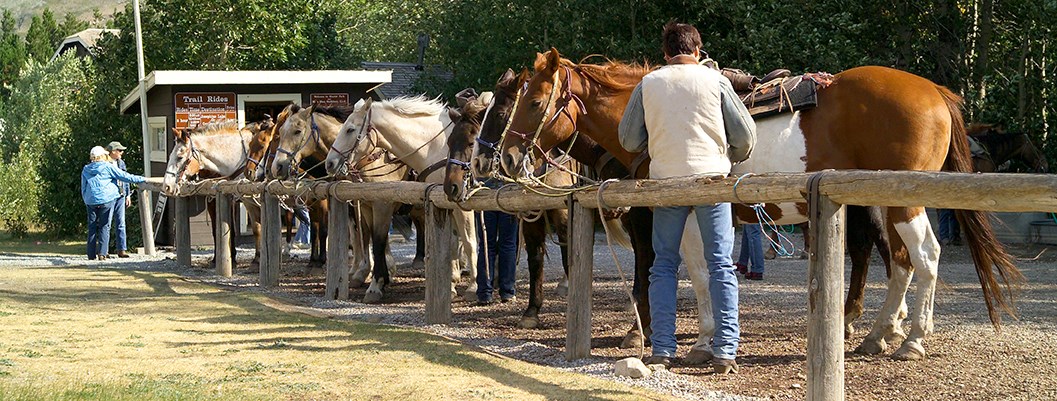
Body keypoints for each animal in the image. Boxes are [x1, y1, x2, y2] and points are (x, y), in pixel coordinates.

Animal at [323, 96, 481, 304]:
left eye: (350, 129)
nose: (329, 163)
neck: (435, 148)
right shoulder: (369, 206)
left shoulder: (384, 205)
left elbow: (469, 242)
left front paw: (473, 287)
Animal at [498, 47, 1018, 361]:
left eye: (534, 101)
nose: (504, 156)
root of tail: (935, 91)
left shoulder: (683, 217)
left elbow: (699, 273)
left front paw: (703, 340)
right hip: (888, 203)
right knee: (905, 260)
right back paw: (878, 333)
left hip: (902, 205)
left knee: (925, 256)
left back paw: (911, 340)